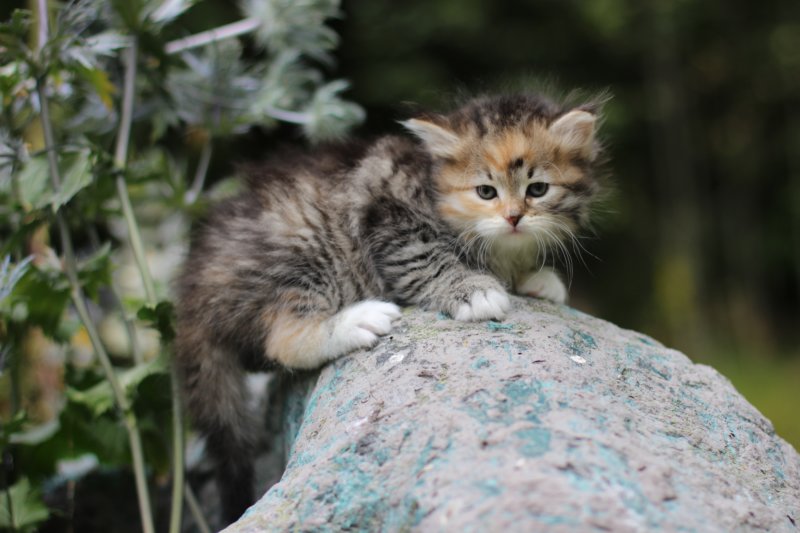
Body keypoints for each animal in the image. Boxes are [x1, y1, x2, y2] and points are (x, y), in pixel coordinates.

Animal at [174, 93, 603, 525]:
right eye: (486, 192)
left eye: (538, 189)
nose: (513, 218)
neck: (432, 185)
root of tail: (194, 288)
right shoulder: (391, 220)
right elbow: (429, 259)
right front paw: (473, 290)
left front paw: (537, 278)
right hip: (306, 251)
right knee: (283, 339)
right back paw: (359, 321)